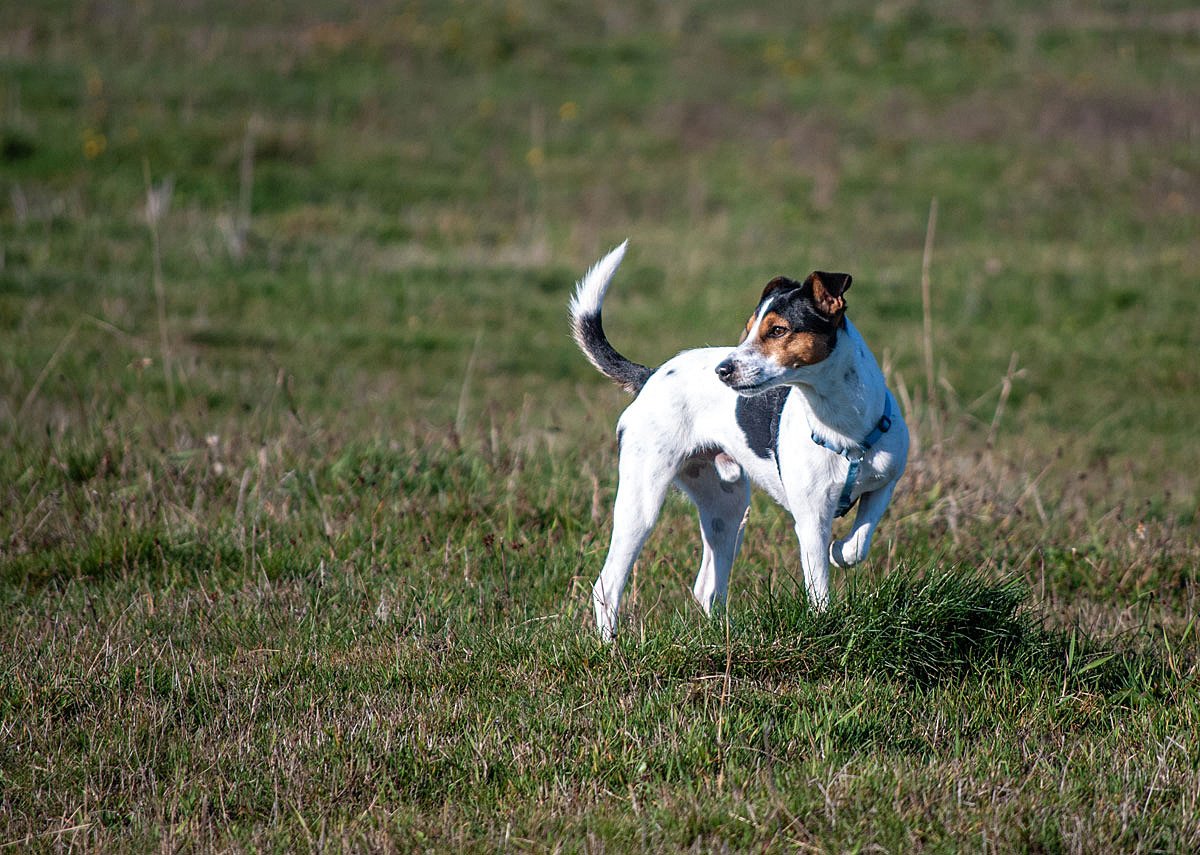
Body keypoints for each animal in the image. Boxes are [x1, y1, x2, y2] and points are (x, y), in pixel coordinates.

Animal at [571, 240, 907, 643]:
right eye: (747, 331)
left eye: (777, 330)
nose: (723, 370)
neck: (843, 424)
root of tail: (652, 375)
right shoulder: (811, 519)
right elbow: (819, 585)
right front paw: (824, 621)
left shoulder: (884, 484)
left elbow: (859, 541)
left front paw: (841, 551)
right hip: (642, 504)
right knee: (607, 585)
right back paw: (612, 647)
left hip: (727, 507)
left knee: (707, 587)